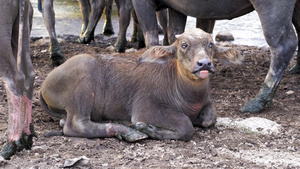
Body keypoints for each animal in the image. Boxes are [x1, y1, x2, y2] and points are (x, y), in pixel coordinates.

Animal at [39, 28, 243, 141]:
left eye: (210, 44)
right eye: (184, 45)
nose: (204, 64)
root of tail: (44, 85)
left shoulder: (207, 103)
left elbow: (210, 118)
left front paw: (200, 119)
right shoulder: (145, 109)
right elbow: (186, 125)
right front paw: (147, 129)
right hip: (83, 79)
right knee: (75, 125)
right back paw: (129, 132)